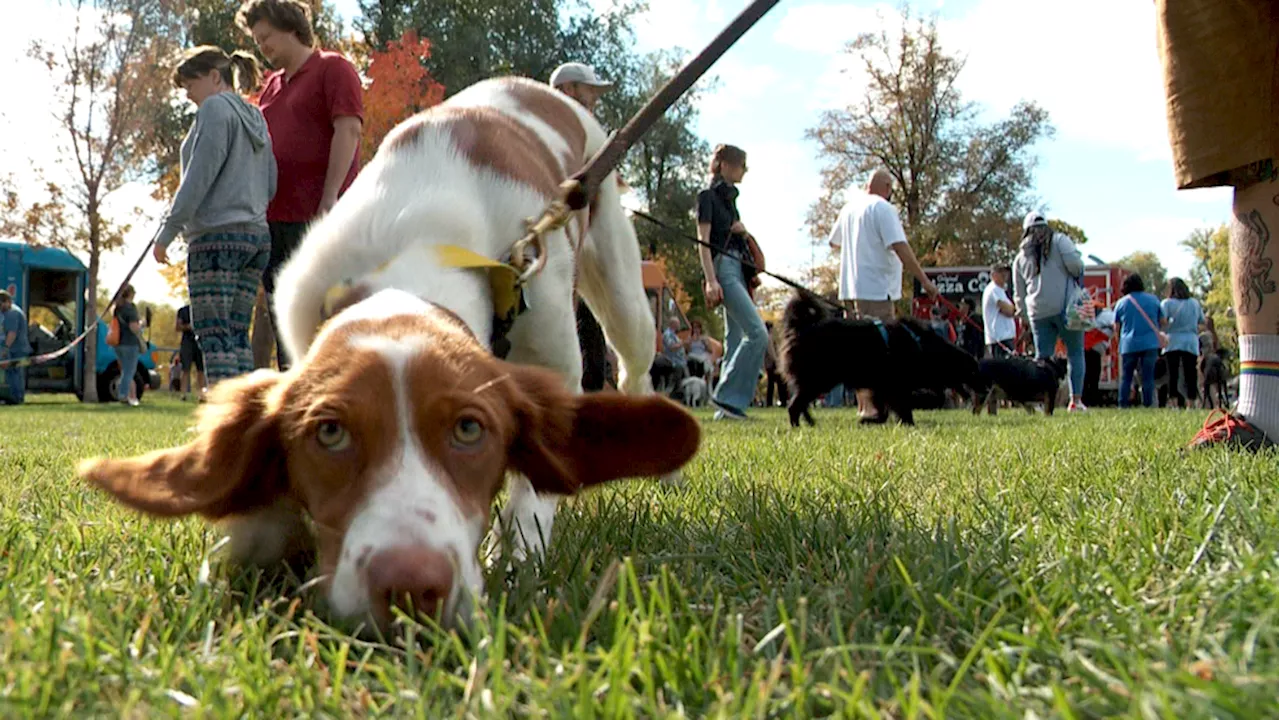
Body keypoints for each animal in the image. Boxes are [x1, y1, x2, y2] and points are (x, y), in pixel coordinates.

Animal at [80, 75, 701, 630]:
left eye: (470, 429)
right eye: (330, 433)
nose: (410, 589)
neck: (411, 254)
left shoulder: (554, 364)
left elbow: (536, 489)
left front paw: (516, 557)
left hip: (622, 286)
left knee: (636, 368)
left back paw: (667, 472)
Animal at [773, 292, 983, 425]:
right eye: (973, 372)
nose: (986, 389)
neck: (923, 346)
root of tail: (800, 327)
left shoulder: (882, 387)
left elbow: (885, 409)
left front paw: (871, 420)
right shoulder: (894, 385)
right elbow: (902, 405)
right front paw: (907, 422)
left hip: (817, 382)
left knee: (799, 403)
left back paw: (809, 422)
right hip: (818, 380)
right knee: (794, 405)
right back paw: (797, 425)